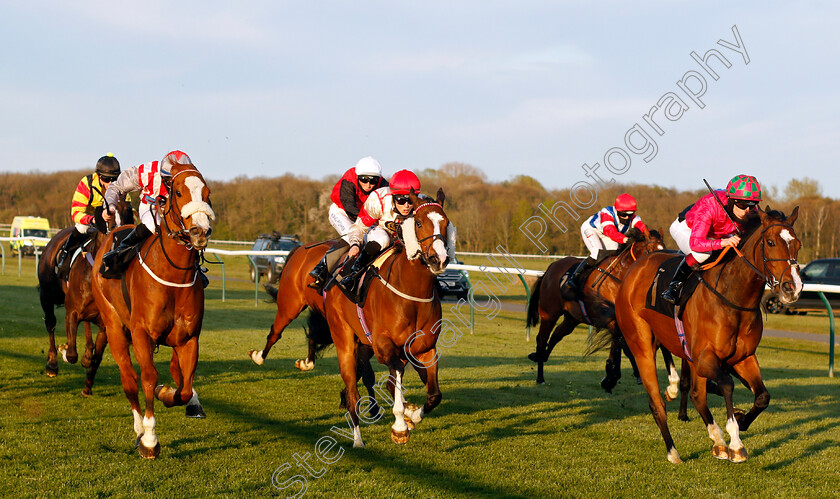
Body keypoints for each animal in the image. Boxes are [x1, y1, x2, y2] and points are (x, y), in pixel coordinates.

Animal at [38, 196, 135, 394]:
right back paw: (52, 364)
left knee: (87, 326)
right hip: (47, 295)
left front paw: (88, 385)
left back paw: (87, 353)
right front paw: (64, 351)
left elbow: (96, 358)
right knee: (50, 324)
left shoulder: (107, 323)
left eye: (129, 214)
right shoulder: (72, 312)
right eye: (109, 218)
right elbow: (71, 353)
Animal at [91, 162, 215, 458]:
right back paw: (138, 429)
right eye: (178, 192)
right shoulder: (141, 334)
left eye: (207, 194)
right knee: (128, 379)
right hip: (114, 327)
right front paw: (149, 438)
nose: (200, 231)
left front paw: (168, 393)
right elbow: (148, 378)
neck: (173, 276)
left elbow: (184, 386)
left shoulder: (189, 338)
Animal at [524, 228, 684, 394]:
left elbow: (621, 347)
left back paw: (541, 356)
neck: (620, 276)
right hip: (549, 313)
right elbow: (624, 347)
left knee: (557, 334)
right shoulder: (612, 321)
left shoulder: (620, 322)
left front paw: (614, 377)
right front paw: (613, 377)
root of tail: (552, 267)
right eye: (651, 250)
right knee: (541, 339)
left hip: (572, 318)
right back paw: (540, 375)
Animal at [616, 205, 800, 462]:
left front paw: (740, 421)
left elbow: (762, 396)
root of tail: (634, 269)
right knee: (657, 403)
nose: (792, 288)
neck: (733, 296)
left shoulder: (743, 357)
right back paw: (673, 451)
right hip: (641, 344)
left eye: (798, 244)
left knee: (697, 394)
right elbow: (727, 384)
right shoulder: (705, 357)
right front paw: (736, 443)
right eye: (771, 242)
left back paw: (717, 440)